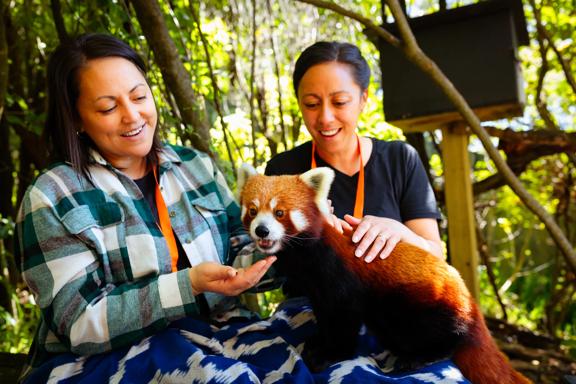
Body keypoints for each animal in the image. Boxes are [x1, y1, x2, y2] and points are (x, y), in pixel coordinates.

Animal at [237, 165, 532, 384]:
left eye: (279, 212)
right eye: (253, 211)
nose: (261, 230)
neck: (305, 255)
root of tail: (470, 304)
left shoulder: (341, 277)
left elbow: (344, 316)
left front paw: (332, 353)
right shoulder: (317, 288)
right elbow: (325, 314)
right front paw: (319, 339)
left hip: (421, 304)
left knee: (445, 334)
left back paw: (421, 355)